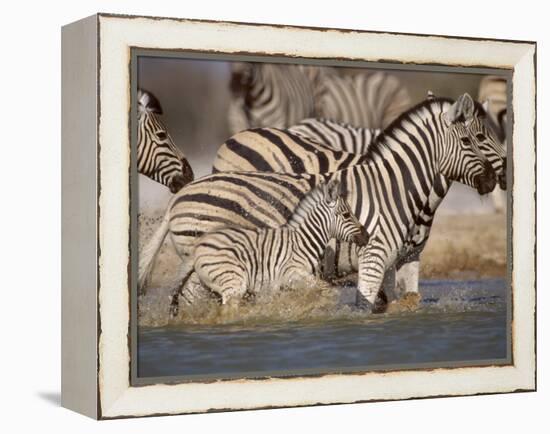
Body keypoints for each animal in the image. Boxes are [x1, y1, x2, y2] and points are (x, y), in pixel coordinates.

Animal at [140, 94, 506, 312]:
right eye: (473, 139)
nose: (494, 179)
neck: (394, 188)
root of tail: (181, 195)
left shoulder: (407, 257)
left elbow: (406, 302)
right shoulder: (374, 257)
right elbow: (367, 304)